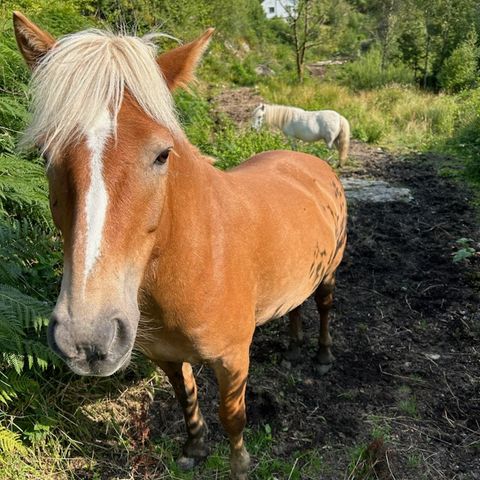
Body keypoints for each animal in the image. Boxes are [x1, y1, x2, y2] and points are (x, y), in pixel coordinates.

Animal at [14, 12, 344, 480]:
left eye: (162, 155)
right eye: (46, 154)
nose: (87, 338)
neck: (196, 258)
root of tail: (313, 162)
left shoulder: (233, 359)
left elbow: (232, 416)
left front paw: (240, 464)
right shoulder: (166, 356)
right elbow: (186, 399)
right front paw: (194, 448)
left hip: (330, 273)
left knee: (323, 307)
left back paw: (322, 355)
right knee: (296, 304)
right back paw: (295, 347)